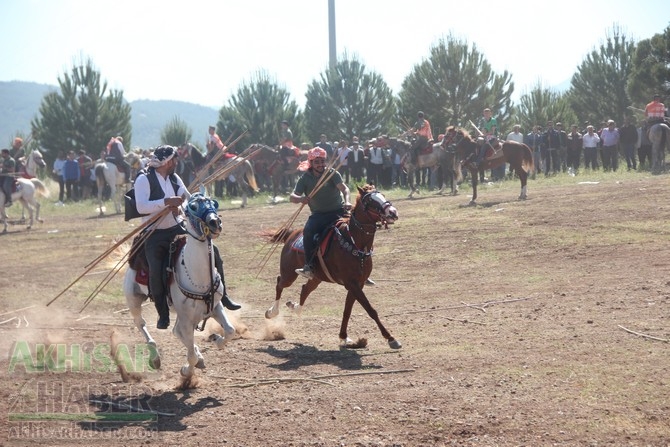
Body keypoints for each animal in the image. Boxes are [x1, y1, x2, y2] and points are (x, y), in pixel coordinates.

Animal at [124, 193, 238, 382]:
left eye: (213, 203)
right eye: (192, 207)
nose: (215, 222)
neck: (198, 275)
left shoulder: (215, 306)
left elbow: (230, 330)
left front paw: (217, 340)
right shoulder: (186, 318)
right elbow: (190, 355)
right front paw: (186, 372)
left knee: (176, 332)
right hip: (133, 298)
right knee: (141, 323)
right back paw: (155, 357)